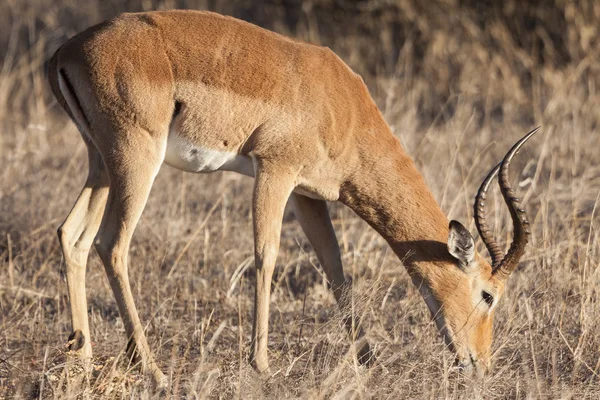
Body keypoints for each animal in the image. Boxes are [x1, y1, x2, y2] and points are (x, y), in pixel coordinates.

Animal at [49, 10, 536, 388]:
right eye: (488, 295)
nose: (480, 366)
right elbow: (266, 256)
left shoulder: (308, 196)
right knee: (112, 244)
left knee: (72, 235)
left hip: (102, 164)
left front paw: (368, 359)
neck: (343, 107)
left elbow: (335, 269)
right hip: (136, 161)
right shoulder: (274, 171)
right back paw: (153, 371)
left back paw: (82, 358)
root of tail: (65, 52)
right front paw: (261, 366)